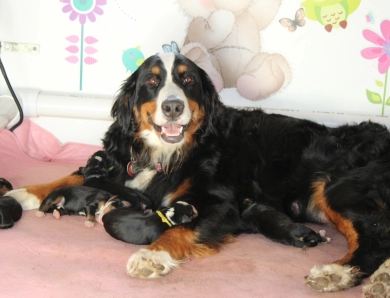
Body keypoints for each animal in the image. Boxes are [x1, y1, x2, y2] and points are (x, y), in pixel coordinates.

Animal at [6, 52, 390, 294]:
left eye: (187, 80)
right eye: (152, 82)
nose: (173, 106)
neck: (164, 153)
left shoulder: (221, 202)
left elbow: (180, 229)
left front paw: (153, 255)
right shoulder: (113, 161)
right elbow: (74, 175)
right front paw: (25, 193)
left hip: (337, 188)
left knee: (374, 240)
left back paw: (337, 273)